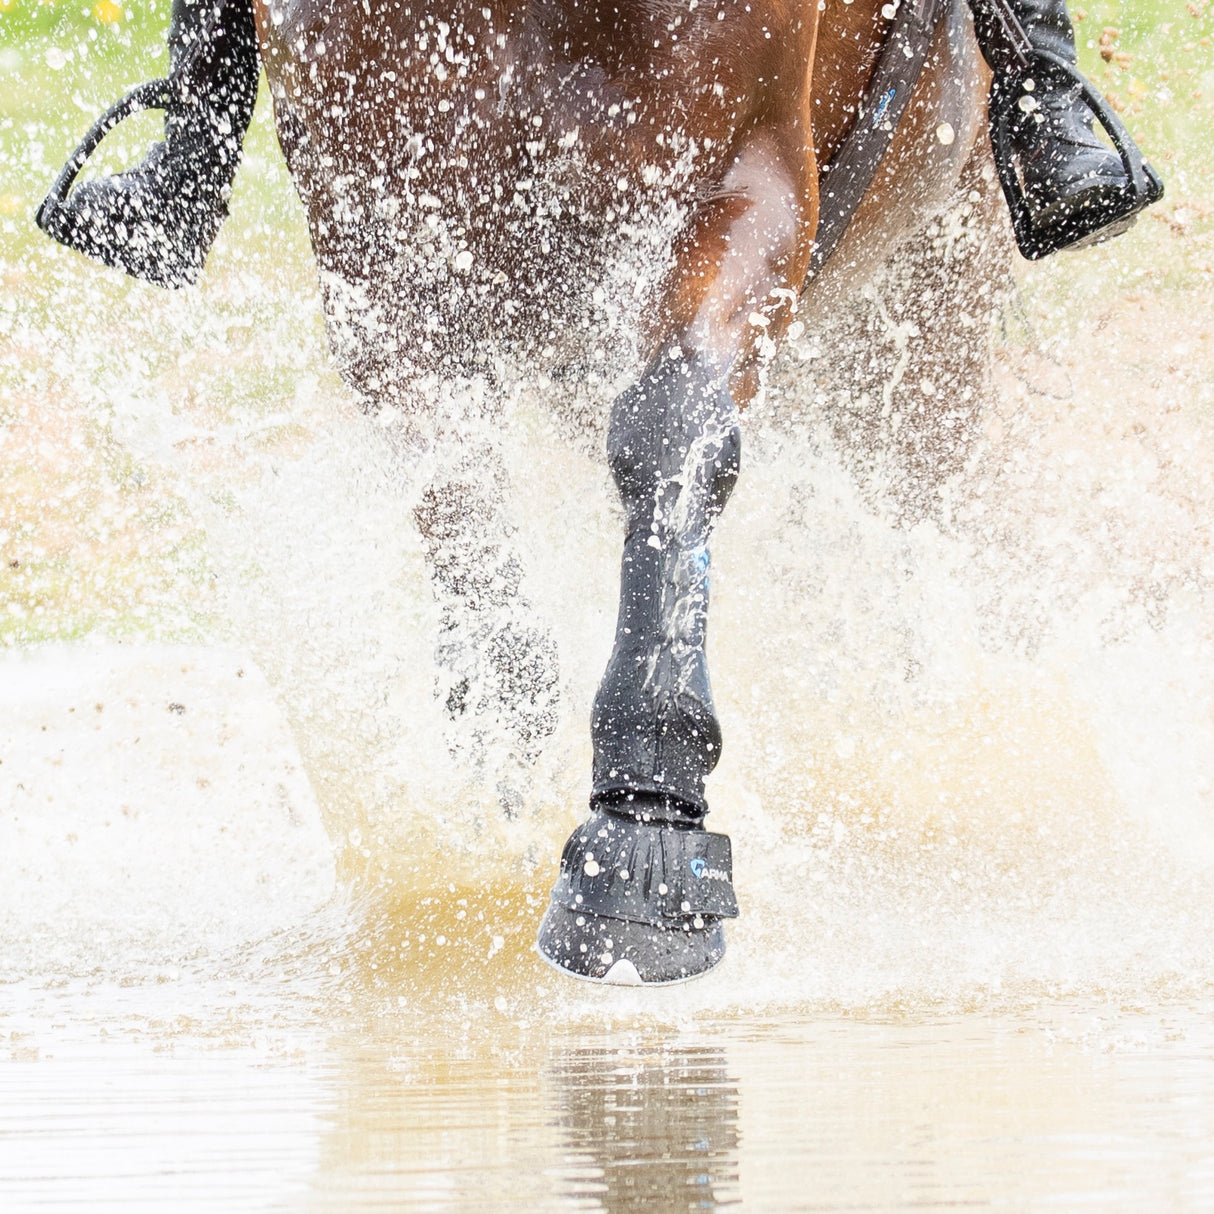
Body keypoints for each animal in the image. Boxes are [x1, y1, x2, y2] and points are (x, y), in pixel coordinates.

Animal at [248, 0, 1005, 980]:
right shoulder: (377, 223)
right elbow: (462, 512)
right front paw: (506, 746)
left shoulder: (747, 176)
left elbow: (671, 432)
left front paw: (642, 841)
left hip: (934, 291)